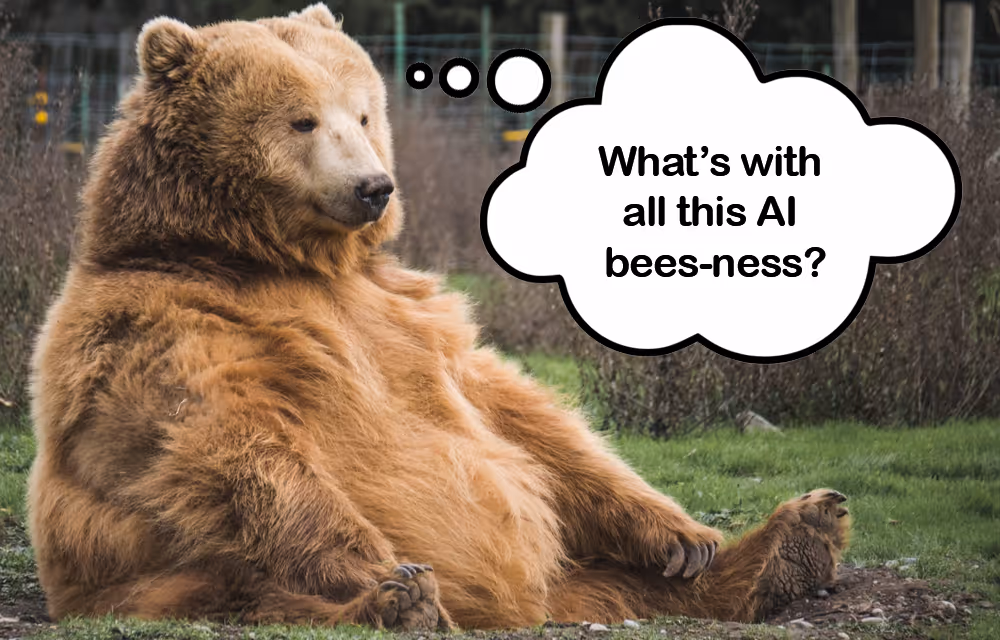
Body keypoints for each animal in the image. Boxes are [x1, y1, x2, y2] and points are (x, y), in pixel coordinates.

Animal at [27, 4, 850, 630]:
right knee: (251, 589)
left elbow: (520, 416)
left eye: (363, 113)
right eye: (302, 121)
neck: (270, 258)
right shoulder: (164, 326)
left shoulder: (407, 316)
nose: (373, 186)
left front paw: (683, 536)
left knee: (624, 580)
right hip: (159, 576)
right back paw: (400, 602)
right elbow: (231, 444)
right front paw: (385, 571)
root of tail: (525, 606)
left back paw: (790, 542)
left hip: (575, 571)